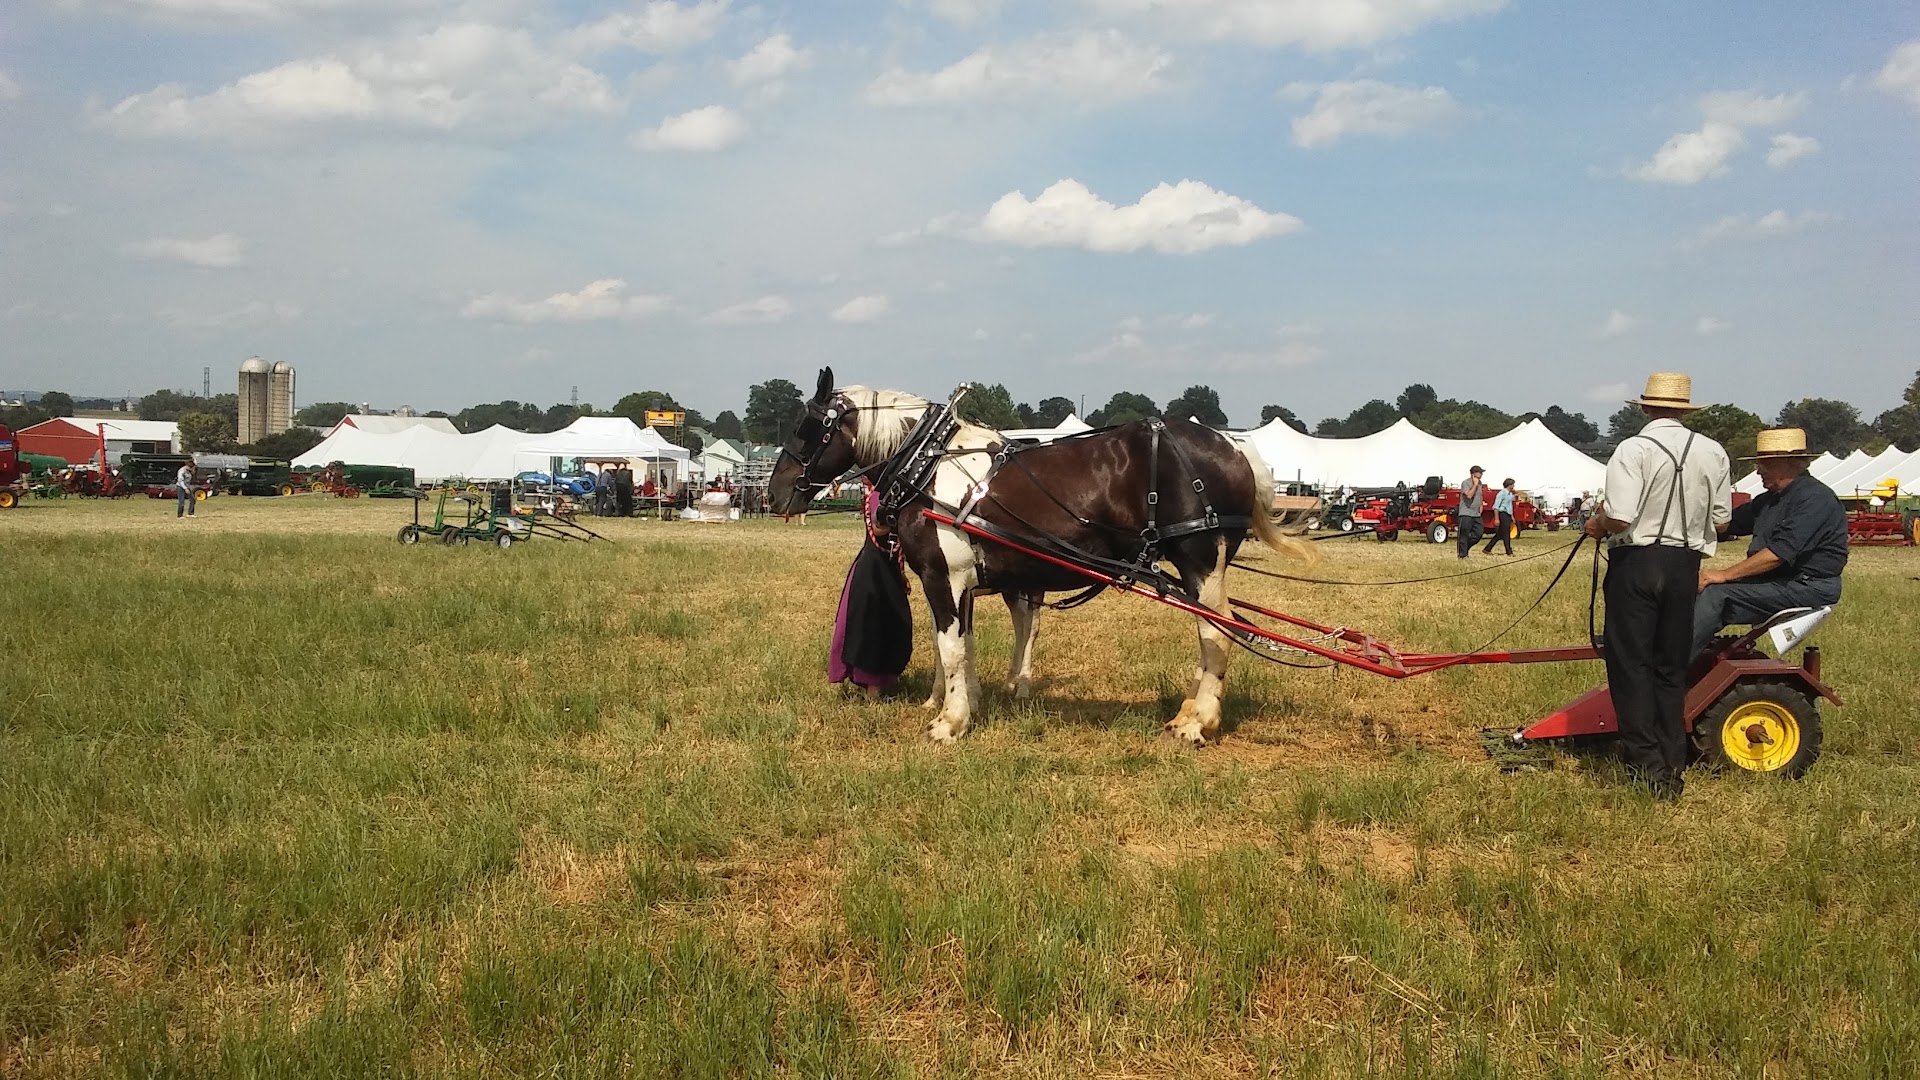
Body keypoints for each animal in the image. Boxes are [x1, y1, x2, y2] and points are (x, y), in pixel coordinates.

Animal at [764, 367, 1305, 737]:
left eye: (808, 427)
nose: (775, 494)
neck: (929, 466)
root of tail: (1235, 448)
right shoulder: (963, 583)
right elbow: (962, 647)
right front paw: (963, 704)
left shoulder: (944, 576)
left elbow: (950, 646)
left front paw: (949, 723)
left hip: (1200, 562)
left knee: (1216, 633)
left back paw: (1198, 722)